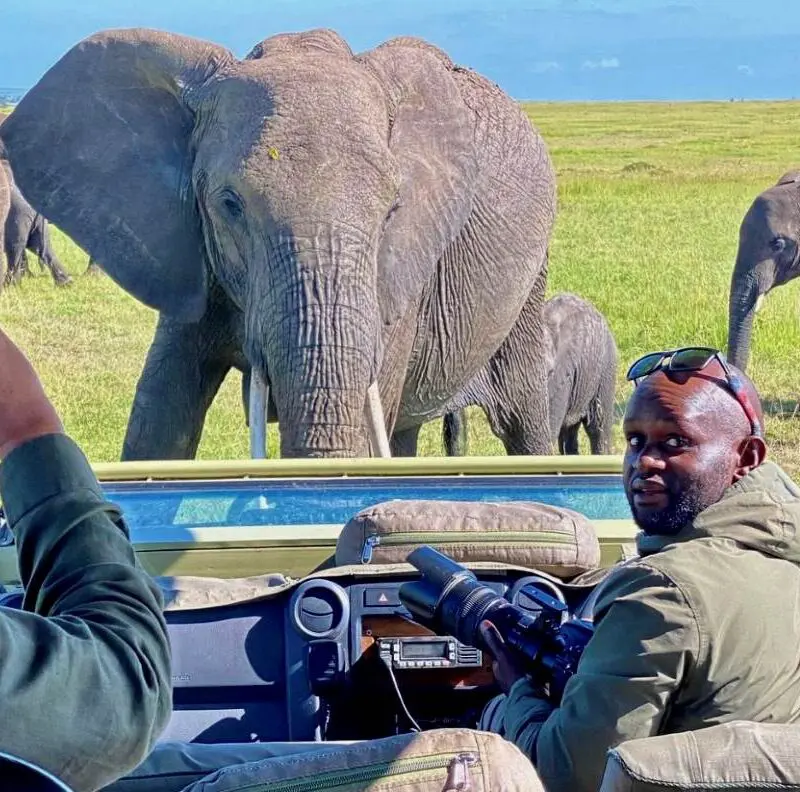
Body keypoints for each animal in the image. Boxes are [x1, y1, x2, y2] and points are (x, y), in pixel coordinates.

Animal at [1, 28, 556, 460]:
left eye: (392, 209)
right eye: (230, 205)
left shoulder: (398, 275)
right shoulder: (190, 250)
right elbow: (160, 413)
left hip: (531, 281)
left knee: (523, 416)